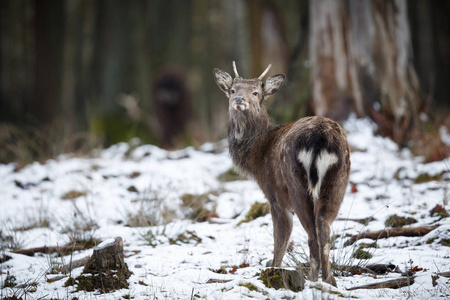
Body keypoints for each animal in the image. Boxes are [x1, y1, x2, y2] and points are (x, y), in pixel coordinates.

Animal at [213, 61, 350, 286]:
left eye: (256, 92)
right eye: (232, 90)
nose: (239, 100)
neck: (258, 156)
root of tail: (321, 137)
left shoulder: (274, 197)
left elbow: (280, 238)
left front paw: (273, 269)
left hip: (296, 185)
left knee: (312, 233)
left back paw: (313, 279)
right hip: (339, 181)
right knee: (325, 227)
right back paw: (329, 281)